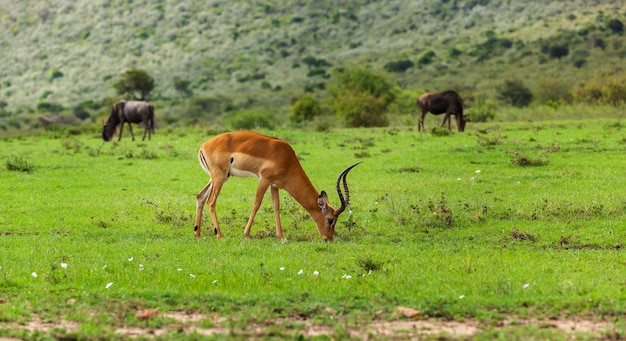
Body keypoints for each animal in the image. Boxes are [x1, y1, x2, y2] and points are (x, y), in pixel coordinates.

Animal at [195, 131, 360, 240]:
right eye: (330, 220)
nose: (329, 238)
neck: (286, 157)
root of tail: (203, 146)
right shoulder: (264, 180)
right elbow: (256, 204)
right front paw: (246, 235)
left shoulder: (274, 185)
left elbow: (276, 207)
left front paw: (282, 237)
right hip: (219, 177)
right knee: (211, 201)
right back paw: (220, 236)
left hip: (218, 178)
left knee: (200, 197)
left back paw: (198, 234)